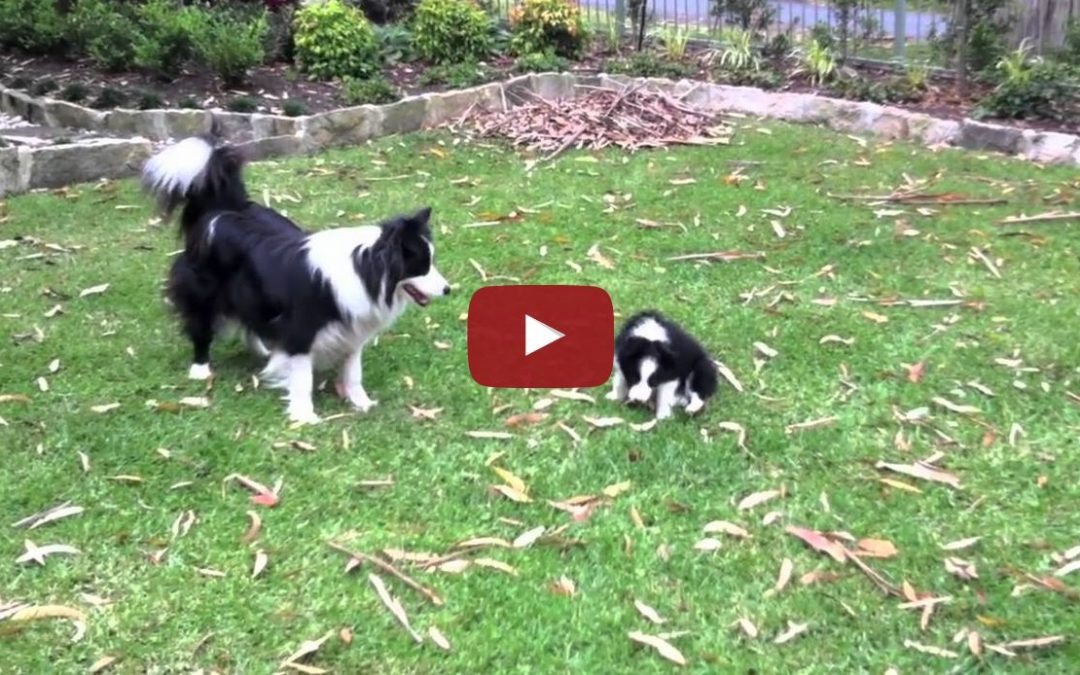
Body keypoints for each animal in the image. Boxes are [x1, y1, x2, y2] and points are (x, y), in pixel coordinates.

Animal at [141, 134, 449, 423]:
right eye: (421, 267)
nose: (448, 289)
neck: (364, 269)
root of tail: (221, 208)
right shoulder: (301, 331)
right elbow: (302, 378)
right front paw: (305, 416)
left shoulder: (352, 330)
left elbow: (353, 372)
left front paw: (361, 403)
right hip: (203, 289)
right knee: (201, 325)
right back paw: (201, 368)